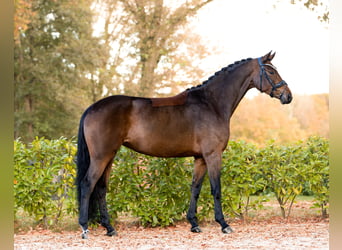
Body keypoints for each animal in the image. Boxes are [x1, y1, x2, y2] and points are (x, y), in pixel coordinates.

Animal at [76, 51, 292, 238]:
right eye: (271, 71)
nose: (288, 96)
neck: (211, 104)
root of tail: (92, 108)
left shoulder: (200, 158)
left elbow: (195, 188)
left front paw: (194, 224)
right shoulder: (213, 155)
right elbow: (216, 189)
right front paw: (224, 224)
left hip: (109, 156)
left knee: (101, 188)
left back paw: (109, 228)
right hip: (101, 156)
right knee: (87, 184)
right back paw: (85, 227)